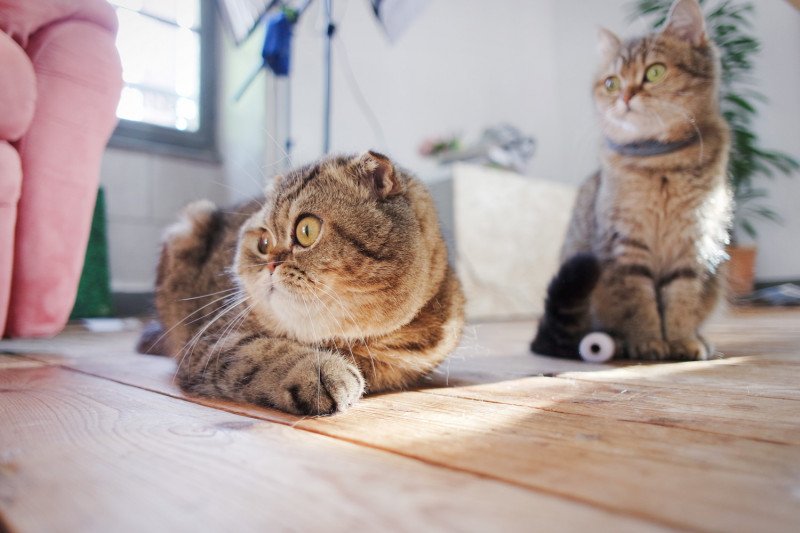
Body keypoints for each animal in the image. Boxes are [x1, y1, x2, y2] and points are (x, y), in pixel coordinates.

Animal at [138, 151, 462, 416]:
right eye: (263, 242)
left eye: (307, 230)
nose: (271, 263)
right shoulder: (210, 342)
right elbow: (262, 352)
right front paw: (320, 370)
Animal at [532, 0, 732, 362]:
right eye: (611, 83)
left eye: (654, 72)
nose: (624, 95)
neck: (659, 161)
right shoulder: (626, 246)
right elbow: (639, 302)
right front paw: (648, 342)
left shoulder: (692, 243)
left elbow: (682, 300)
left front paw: (682, 341)